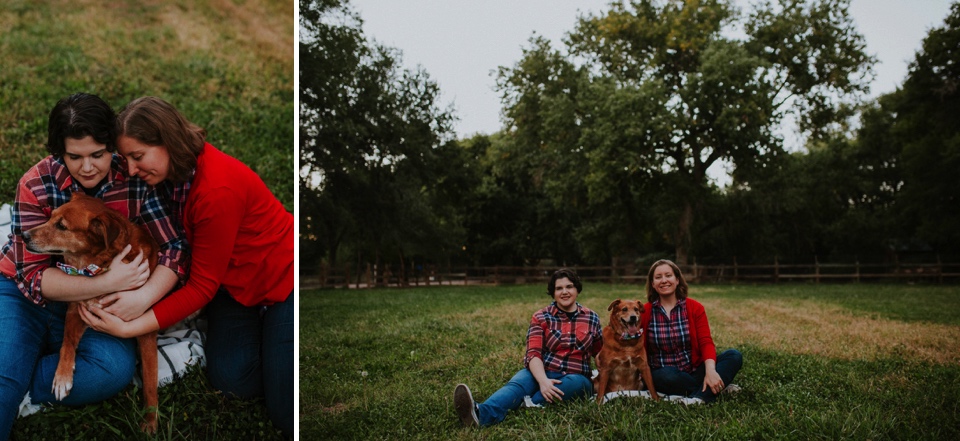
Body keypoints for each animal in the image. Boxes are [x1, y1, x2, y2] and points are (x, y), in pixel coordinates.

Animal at [22, 192, 161, 430]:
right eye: (51, 217)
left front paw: (150, 421)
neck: (98, 264)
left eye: (61, 226)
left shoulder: (145, 330)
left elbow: (150, 379)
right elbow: (67, 343)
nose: (22, 235)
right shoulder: (75, 311)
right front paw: (62, 377)